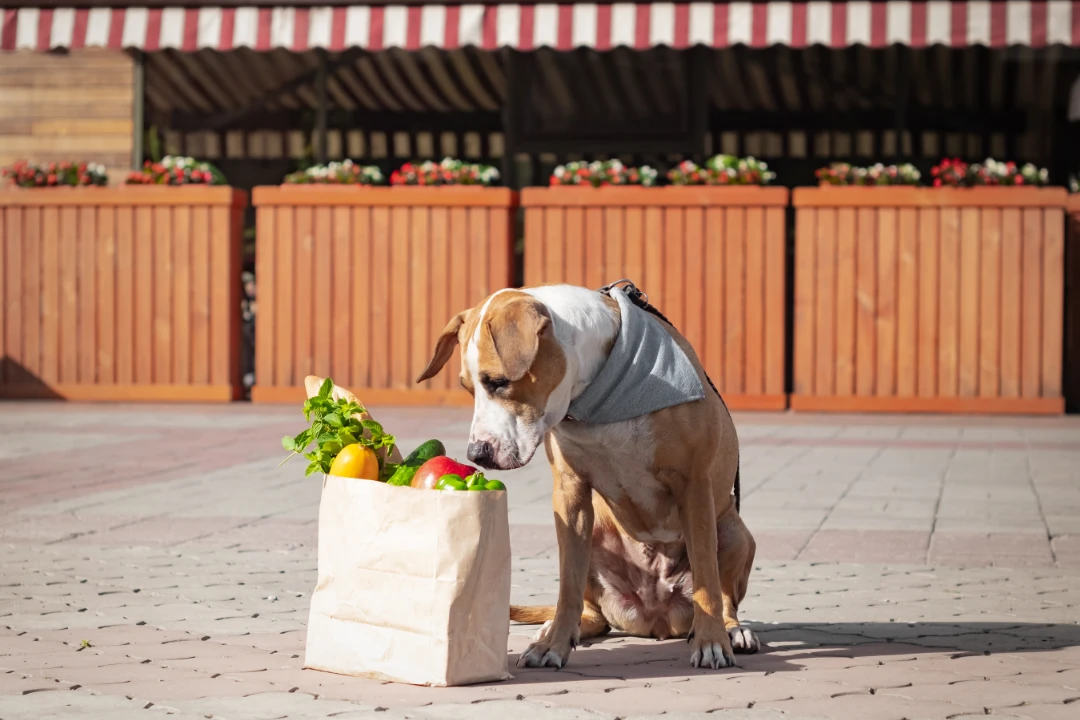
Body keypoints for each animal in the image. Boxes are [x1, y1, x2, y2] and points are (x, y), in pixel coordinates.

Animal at [414, 280, 760, 669]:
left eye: (498, 382)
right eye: (468, 388)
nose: (476, 453)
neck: (597, 399)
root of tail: (656, 618)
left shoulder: (694, 485)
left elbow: (706, 579)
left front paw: (711, 641)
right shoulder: (570, 493)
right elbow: (568, 583)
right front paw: (554, 644)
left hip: (733, 531)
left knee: (724, 594)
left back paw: (732, 630)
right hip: (593, 533)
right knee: (590, 607)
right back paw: (557, 629)